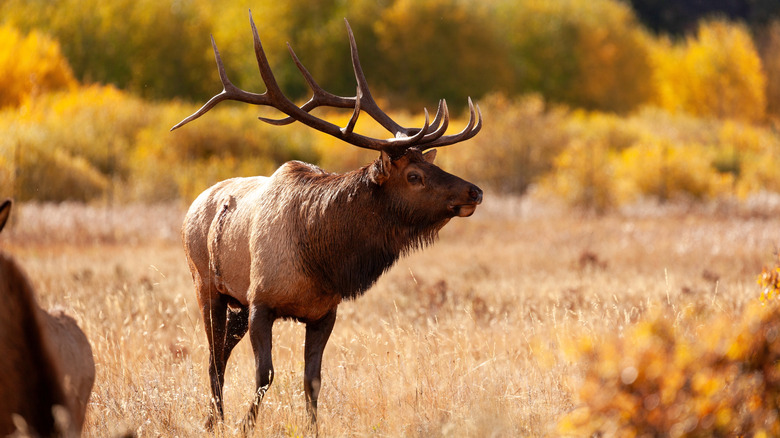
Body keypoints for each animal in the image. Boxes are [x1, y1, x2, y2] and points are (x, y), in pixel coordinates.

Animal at [171, 11, 483, 433]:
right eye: (414, 176)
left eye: (430, 165)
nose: (474, 192)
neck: (320, 258)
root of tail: (195, 203)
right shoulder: (260, 302)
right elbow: (265, 373)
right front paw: (244, 425)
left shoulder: (323, 312)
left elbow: (313, 379)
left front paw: (312, 428)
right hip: (206, 285)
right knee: (213, 357)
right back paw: (215, 419)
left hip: (233, 303)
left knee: (221, 352)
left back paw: (210, 418)